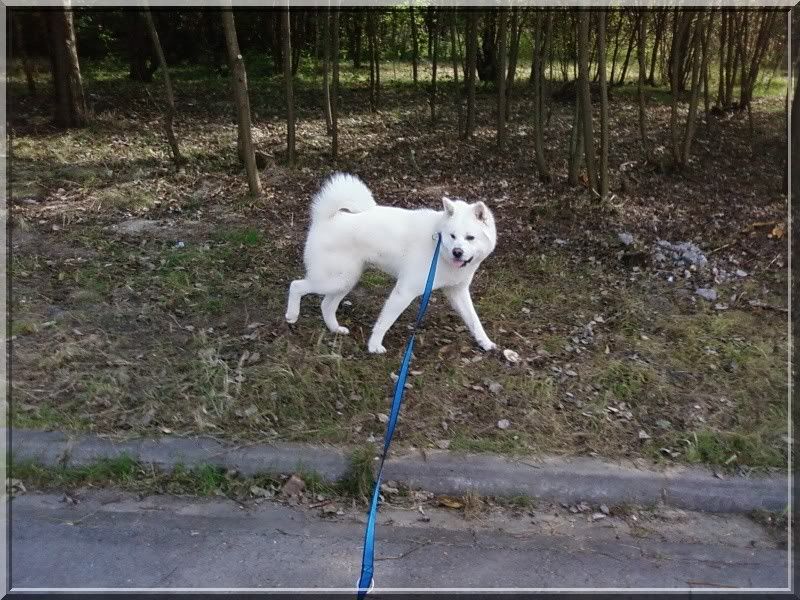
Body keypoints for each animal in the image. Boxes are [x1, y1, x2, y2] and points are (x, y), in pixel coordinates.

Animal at [285, 173, 497, 354]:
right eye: (452, 236)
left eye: (470, 237)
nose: (457, 252)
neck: (439, 247)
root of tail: (326, 218)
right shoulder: (404, 292)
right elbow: (384, 322)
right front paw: (374, 346)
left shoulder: (458, 292)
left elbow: (474, 321)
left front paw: (486, 343)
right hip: (335, 280)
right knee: (296, 285)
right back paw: (292, 315)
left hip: (345, 280)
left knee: (326, 305)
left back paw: (335, 328)